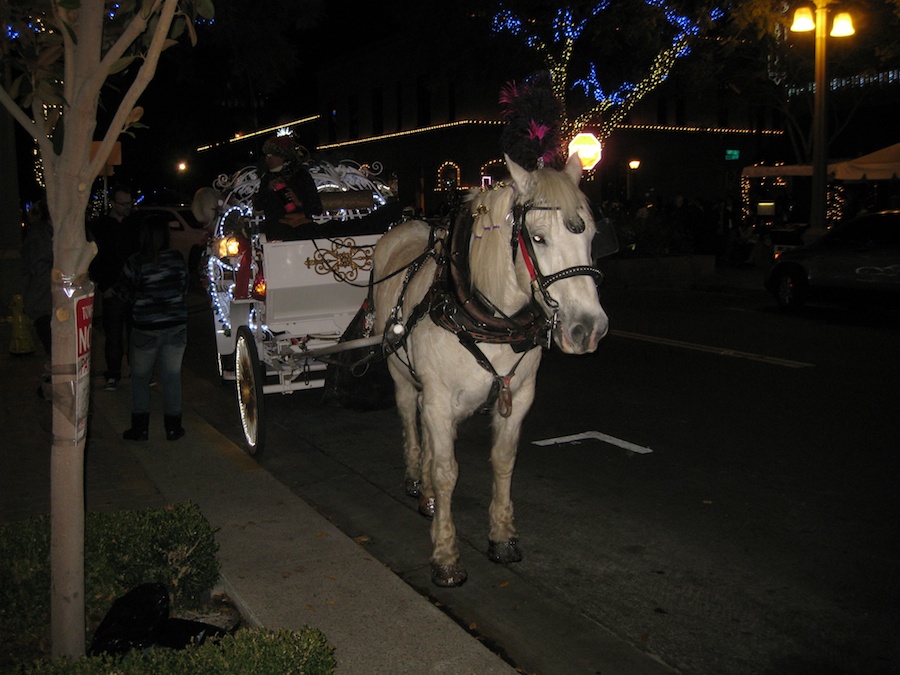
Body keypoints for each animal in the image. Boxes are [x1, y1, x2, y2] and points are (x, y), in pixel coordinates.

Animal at [372, 154, 612, 588]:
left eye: (591, 234)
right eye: (538, 238)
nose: (588, 328)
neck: (484, 317)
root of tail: (405, 225)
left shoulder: (517, 396)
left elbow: (503, 461)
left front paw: (502, 537)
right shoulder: (438, 399)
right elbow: (447, 471)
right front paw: (446, 555)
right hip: (401, 375)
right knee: (412, 420)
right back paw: (417, 479)